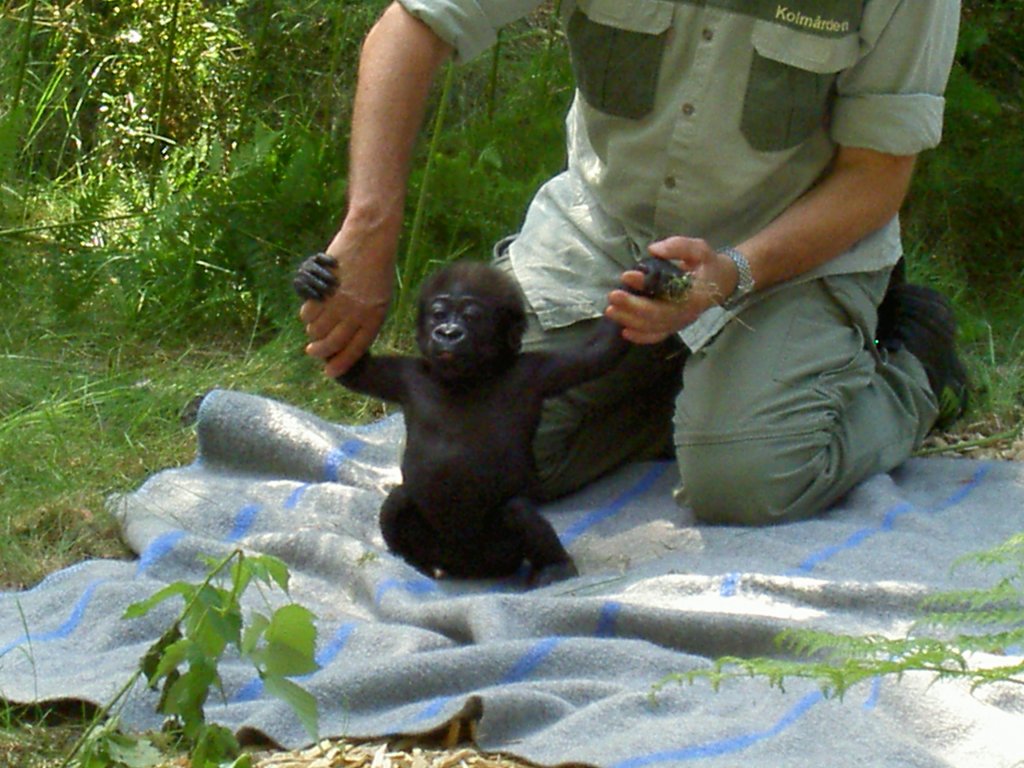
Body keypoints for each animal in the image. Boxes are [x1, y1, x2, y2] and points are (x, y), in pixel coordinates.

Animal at [292, 256, 684, 585]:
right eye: (438, 314)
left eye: (471, 316)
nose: (448, 333)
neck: (466, 378)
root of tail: (467, 569)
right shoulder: (407, 375)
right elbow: (349, 367)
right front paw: (311, 280)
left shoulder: (536, 372)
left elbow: (598, 354)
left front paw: (651, 279)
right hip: (437, 546)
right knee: (399, 501)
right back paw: (415, 566)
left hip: (502, 552)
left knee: (518, 510)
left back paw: (556, 567)